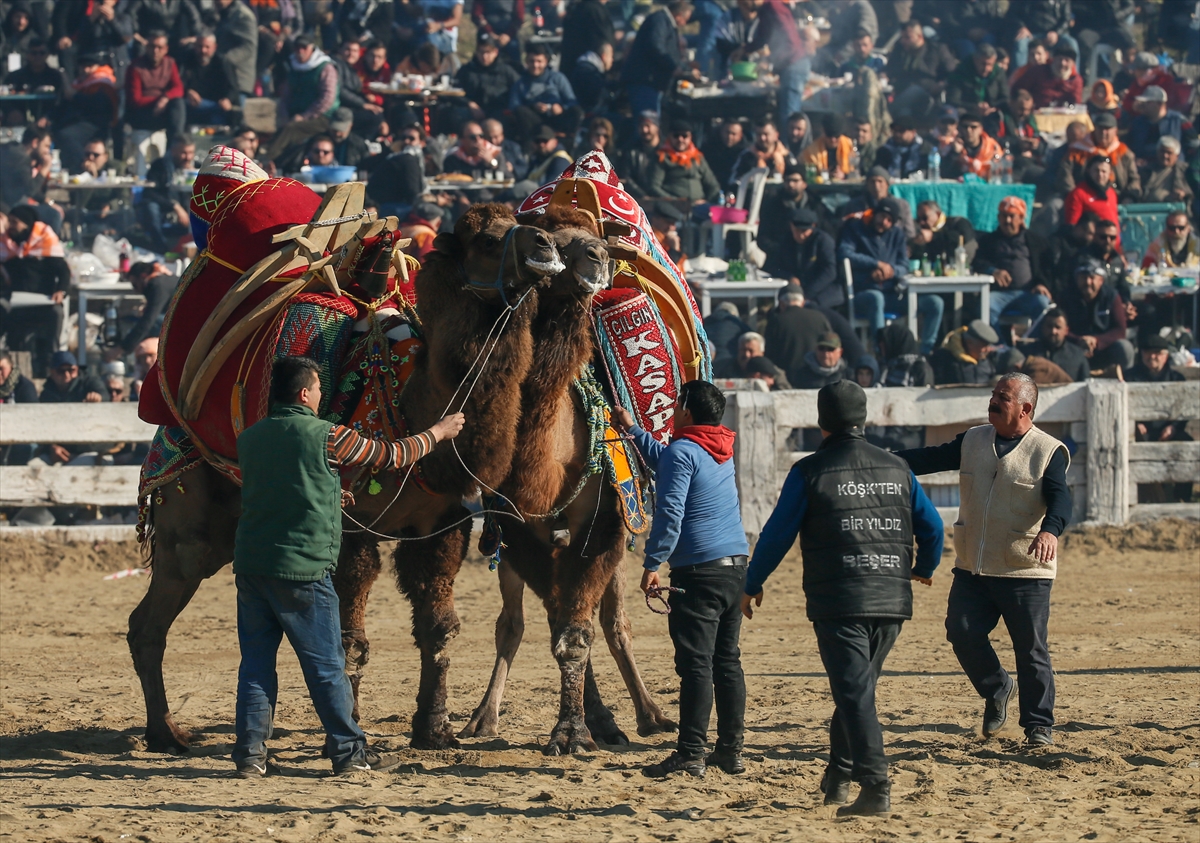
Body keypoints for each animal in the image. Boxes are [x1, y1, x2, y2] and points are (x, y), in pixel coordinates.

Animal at [130, 206, 561, 758]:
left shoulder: (443, 527)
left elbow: (439, 628)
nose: (546, 244)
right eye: (487, 239)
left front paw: (435, 730)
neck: (414, 400)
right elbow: (348, 638)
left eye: (521, 218)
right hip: (189, 533)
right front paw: (355, 736)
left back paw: (168, 732)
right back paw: (168, 733)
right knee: (148, 623)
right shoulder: (353, 526)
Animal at [453, 207, 676, 754]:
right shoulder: (516, 531)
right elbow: (552, 626)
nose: (596, 257)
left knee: (612, 623)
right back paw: (485, 719)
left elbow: (581, 631)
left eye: (597, 240)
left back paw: (648, 715)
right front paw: (575, 726)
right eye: (555, 240)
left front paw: (574, 731)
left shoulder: (605, 527)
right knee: (516, 624)